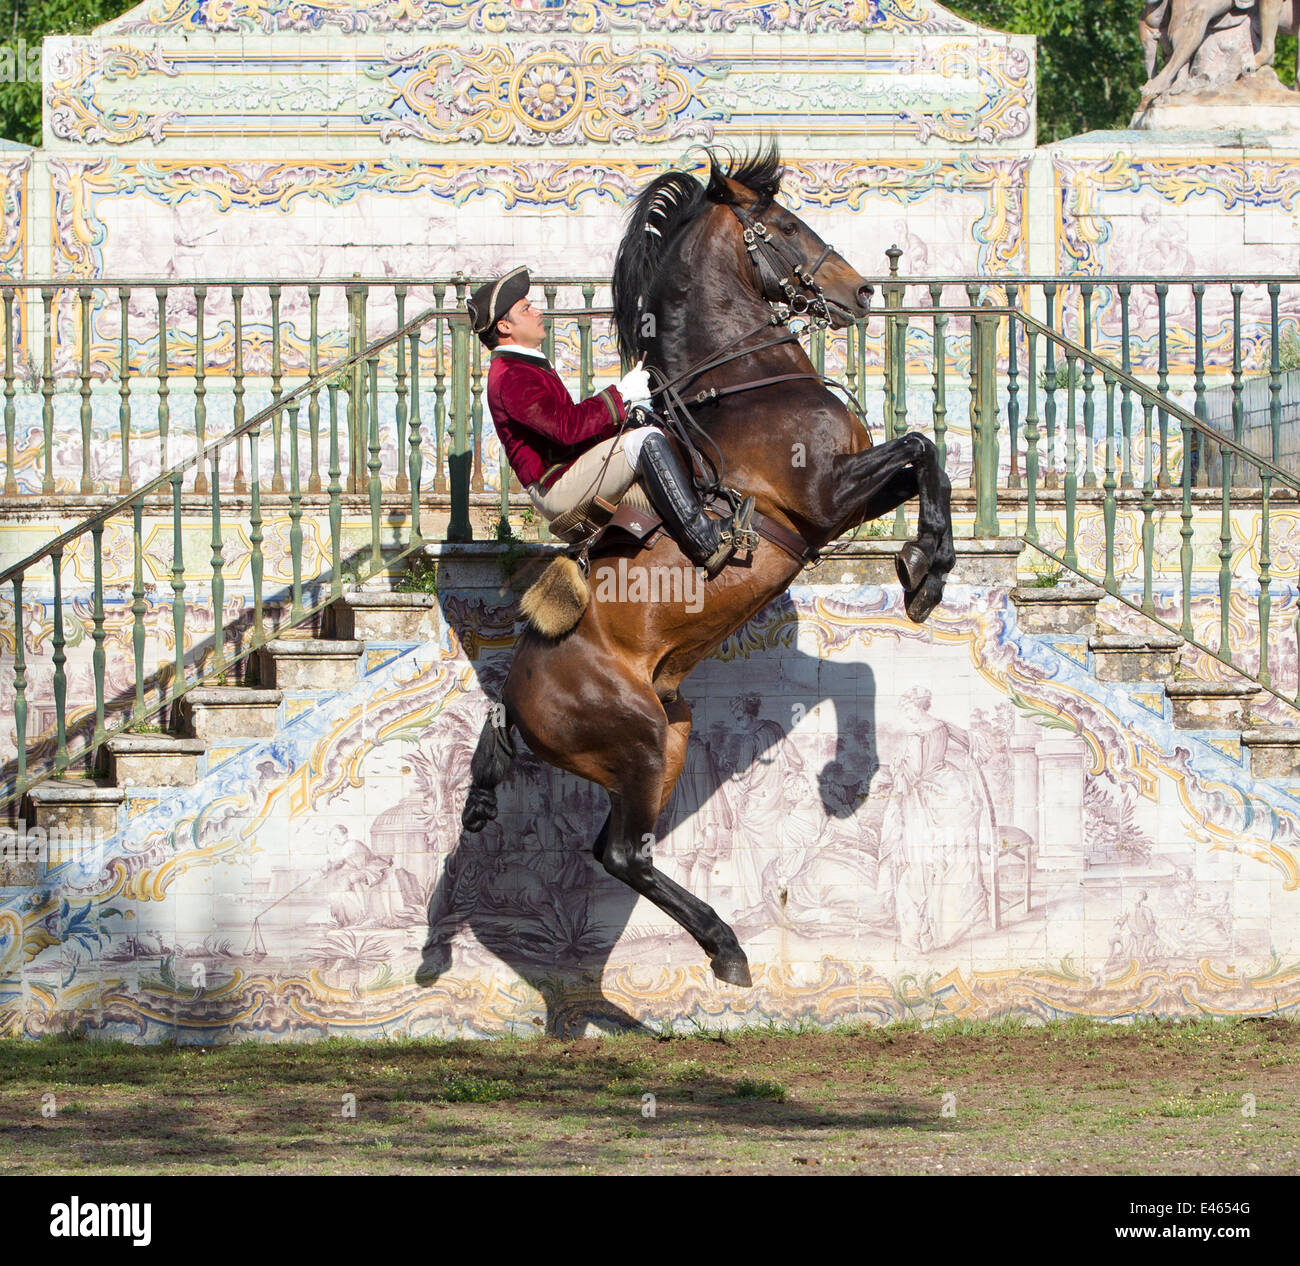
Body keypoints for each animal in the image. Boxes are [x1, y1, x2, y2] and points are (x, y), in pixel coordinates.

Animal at [454, 143, 956, 987]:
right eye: (780, 224)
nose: (860, 290)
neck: (745, 382)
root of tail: (509, 700)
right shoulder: (825, 497)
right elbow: (924, 448)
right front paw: (928, 567)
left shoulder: (848, 497)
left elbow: (926, 458)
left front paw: (925, 567)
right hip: (636, 739)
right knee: (624, 853)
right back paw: (726, 947)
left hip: (668, 734)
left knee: (617, 852)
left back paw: (718, 944)